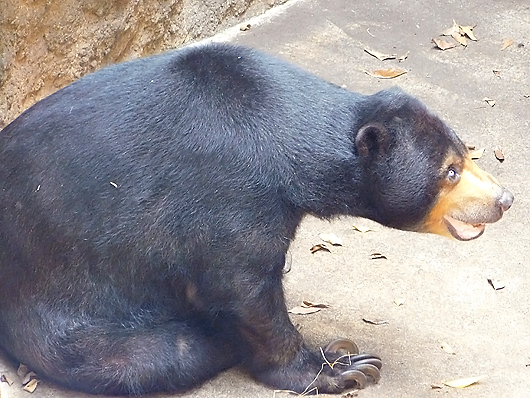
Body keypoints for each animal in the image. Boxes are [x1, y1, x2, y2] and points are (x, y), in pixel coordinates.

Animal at [0, 42, 512, 394]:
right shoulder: (230, 190)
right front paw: (341, 365)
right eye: (449, 171)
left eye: (465, 153)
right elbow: (240, 284)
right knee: (158, 355)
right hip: (66, 315)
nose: (505, 199)